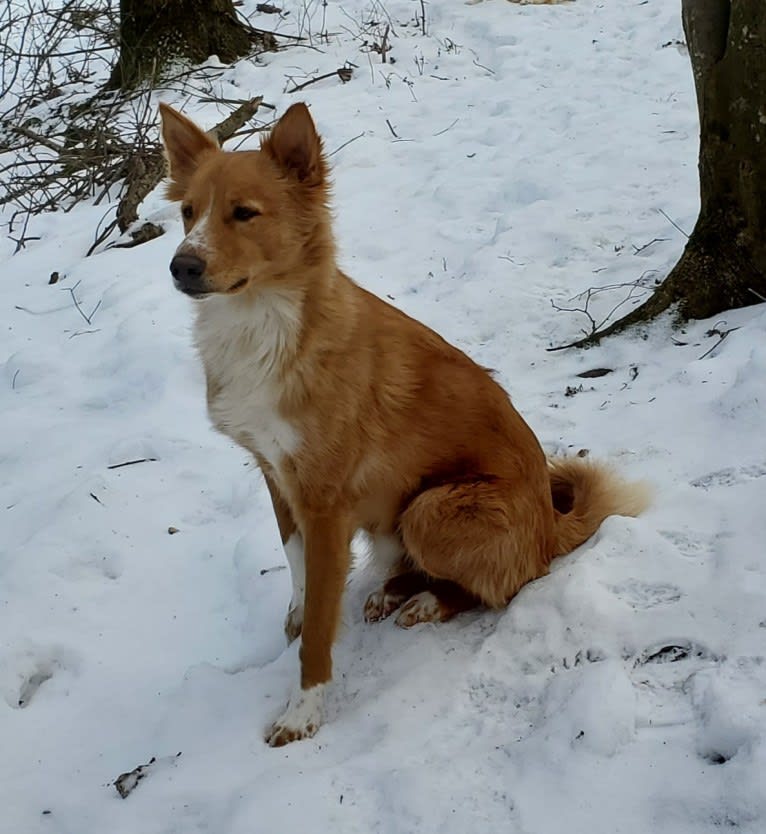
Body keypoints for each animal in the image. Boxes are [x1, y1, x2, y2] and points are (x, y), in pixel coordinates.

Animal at [159, 101, 652, 744]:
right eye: (188, 212)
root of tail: (551, 523)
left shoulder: (324, 501)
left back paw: (428, 601)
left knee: (510, 583)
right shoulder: (275, 472)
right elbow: (295, 564)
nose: (181, 267)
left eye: (244, 213)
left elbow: (320, 625)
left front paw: (303, 711)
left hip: (433, 509)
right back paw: (394, 590)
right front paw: (294, 616)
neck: (265, 327)